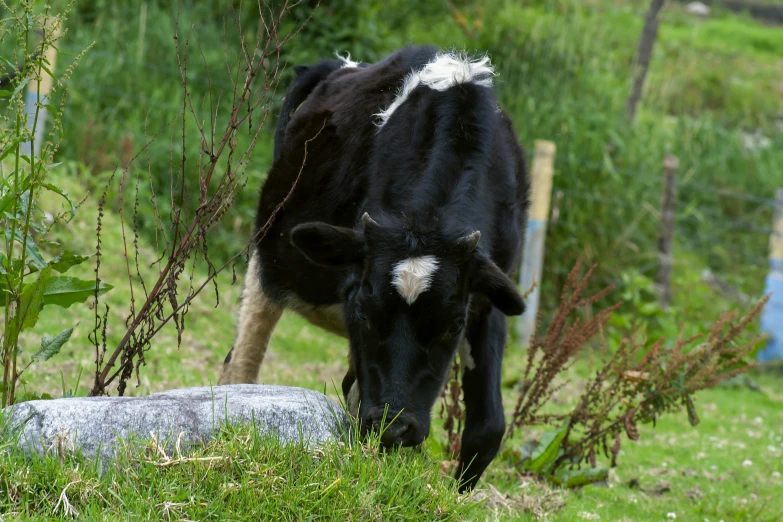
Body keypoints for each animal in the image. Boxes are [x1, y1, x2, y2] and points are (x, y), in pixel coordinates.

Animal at [217, 45, 528, 492]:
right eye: (363, 312)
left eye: (453, 325)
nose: (394, 427)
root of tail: (340, 65)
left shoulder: (488, 298)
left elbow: (487, 429)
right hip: (267, 256)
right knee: (241, 364)